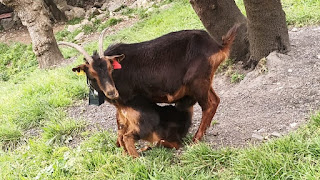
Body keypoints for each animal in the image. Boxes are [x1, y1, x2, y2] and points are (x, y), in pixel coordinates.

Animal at [58, 24, 238, 143]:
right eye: (92, 73)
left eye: (110, 68)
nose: (112, 92)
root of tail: (217, 46)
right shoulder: (120, 103)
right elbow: (120, 121)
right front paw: (118, 144)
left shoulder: (132, 100)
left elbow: (128, 122)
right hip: (205, 81)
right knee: (216, 100)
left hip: (197, 82)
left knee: (209, 105)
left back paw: (196, 139)